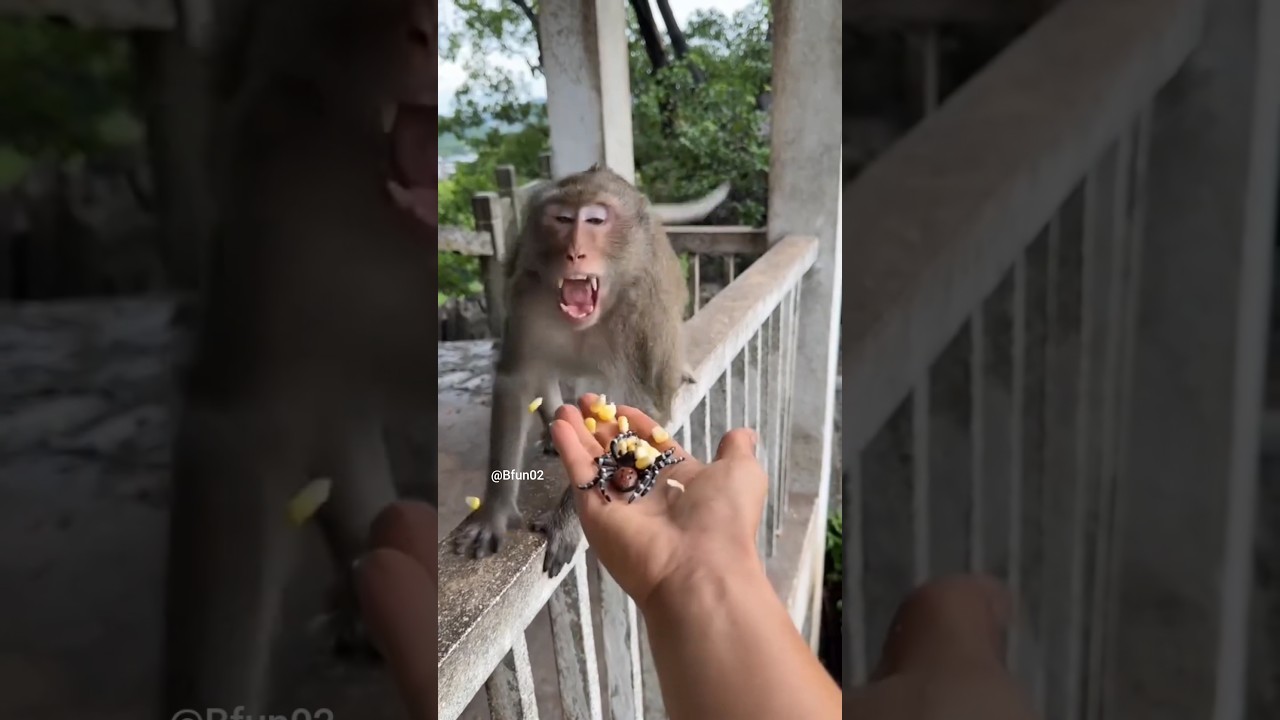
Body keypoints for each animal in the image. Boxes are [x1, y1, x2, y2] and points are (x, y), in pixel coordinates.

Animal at [452, 165, 708, 577]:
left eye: (595, 221)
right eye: (561, 219)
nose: (575, 251)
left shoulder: (642, 315)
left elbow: (643, 412)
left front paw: (569, 518)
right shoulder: (527, 298)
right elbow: (516, 380)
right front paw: (494, 513)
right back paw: (555, 426)